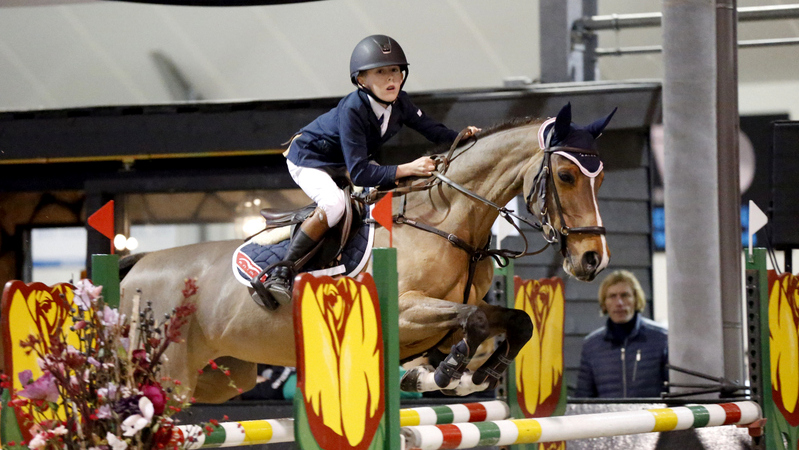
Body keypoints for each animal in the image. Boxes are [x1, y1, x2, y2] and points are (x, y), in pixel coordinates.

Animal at [120, 103, 620, 404]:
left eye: (599, 178)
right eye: (565, 176)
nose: (592, 259)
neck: (447, 223)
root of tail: (137, 265)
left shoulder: (458, 310)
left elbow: (515, 320)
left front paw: (475, 371)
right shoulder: (404, 311)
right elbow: (474, 321)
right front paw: (449, 371)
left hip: (224, 373)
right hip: (168, 368)